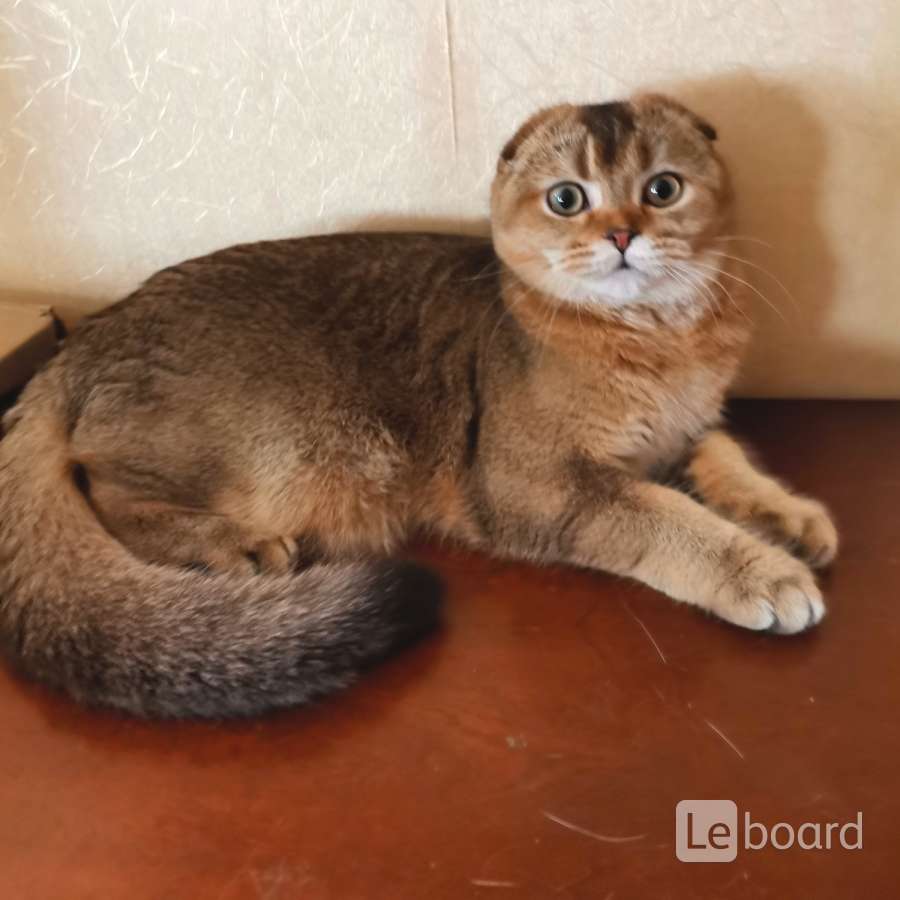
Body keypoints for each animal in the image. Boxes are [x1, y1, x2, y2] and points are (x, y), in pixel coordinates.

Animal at [0, 93, 837, 718]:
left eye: (663, 188)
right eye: (568, 199)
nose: (624, 234)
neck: (660, 342)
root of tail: (86, 339)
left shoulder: (686, 428)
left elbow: (725, 454)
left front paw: (787, 517)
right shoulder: (537, 486)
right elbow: (667, 516)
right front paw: (761, 572)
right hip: (260, 451)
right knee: (107, 492)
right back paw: (230, 545)